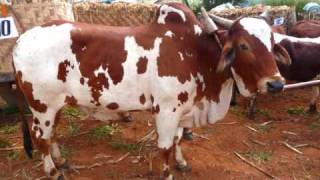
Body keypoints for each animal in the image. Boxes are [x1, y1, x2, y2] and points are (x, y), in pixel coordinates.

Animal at [12, 3, 288, 179]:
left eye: (272, 42)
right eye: (243, 45)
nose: (276, 83)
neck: (197, 54)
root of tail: (21, 40)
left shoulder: (182, 110)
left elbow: (178, 139)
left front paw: (181, 163)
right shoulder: (166, 110)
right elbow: (165, 146)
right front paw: (166, 174)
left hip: (54, 105)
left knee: (52, 134)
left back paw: (60, 161)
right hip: (42, 105)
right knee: (41, 137)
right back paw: (52, 171)